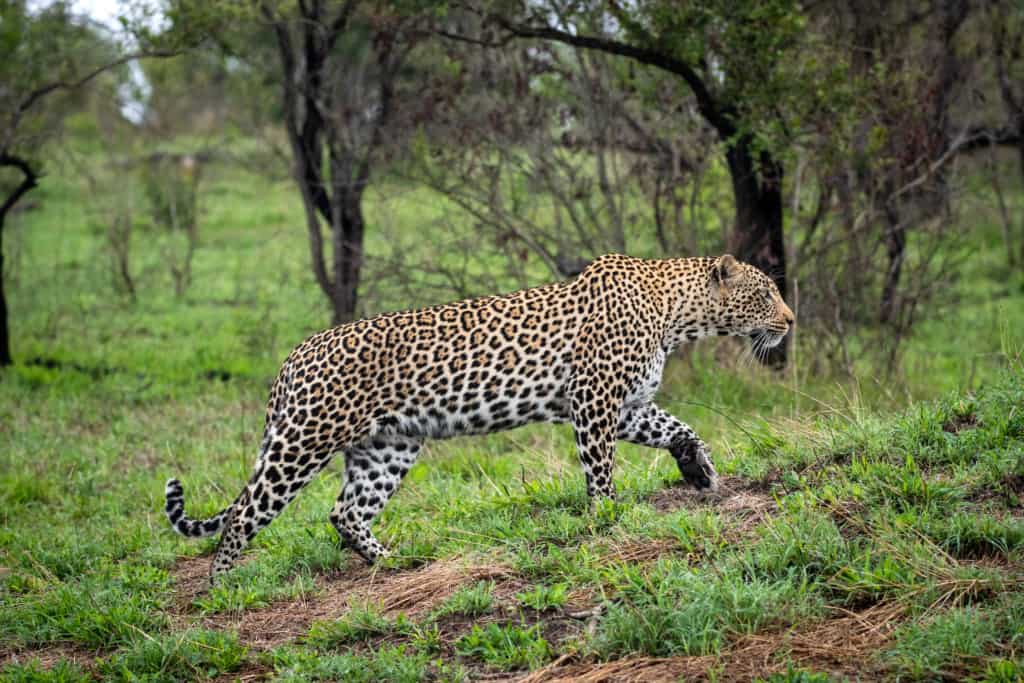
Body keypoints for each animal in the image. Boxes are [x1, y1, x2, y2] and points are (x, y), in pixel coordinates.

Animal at [163, 253, 794, 581]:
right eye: (766, 294)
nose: (791, 321)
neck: (677, 314)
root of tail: (295, 355)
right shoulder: (594, 403)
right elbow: (601, 473)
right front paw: (608, 520)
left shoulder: (627, 406)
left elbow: (681, 429)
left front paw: (698, 471)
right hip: (302, 442)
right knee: (243, 513)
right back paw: (224, 586)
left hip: (387, 447)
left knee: (345, 512)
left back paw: (392, 561)